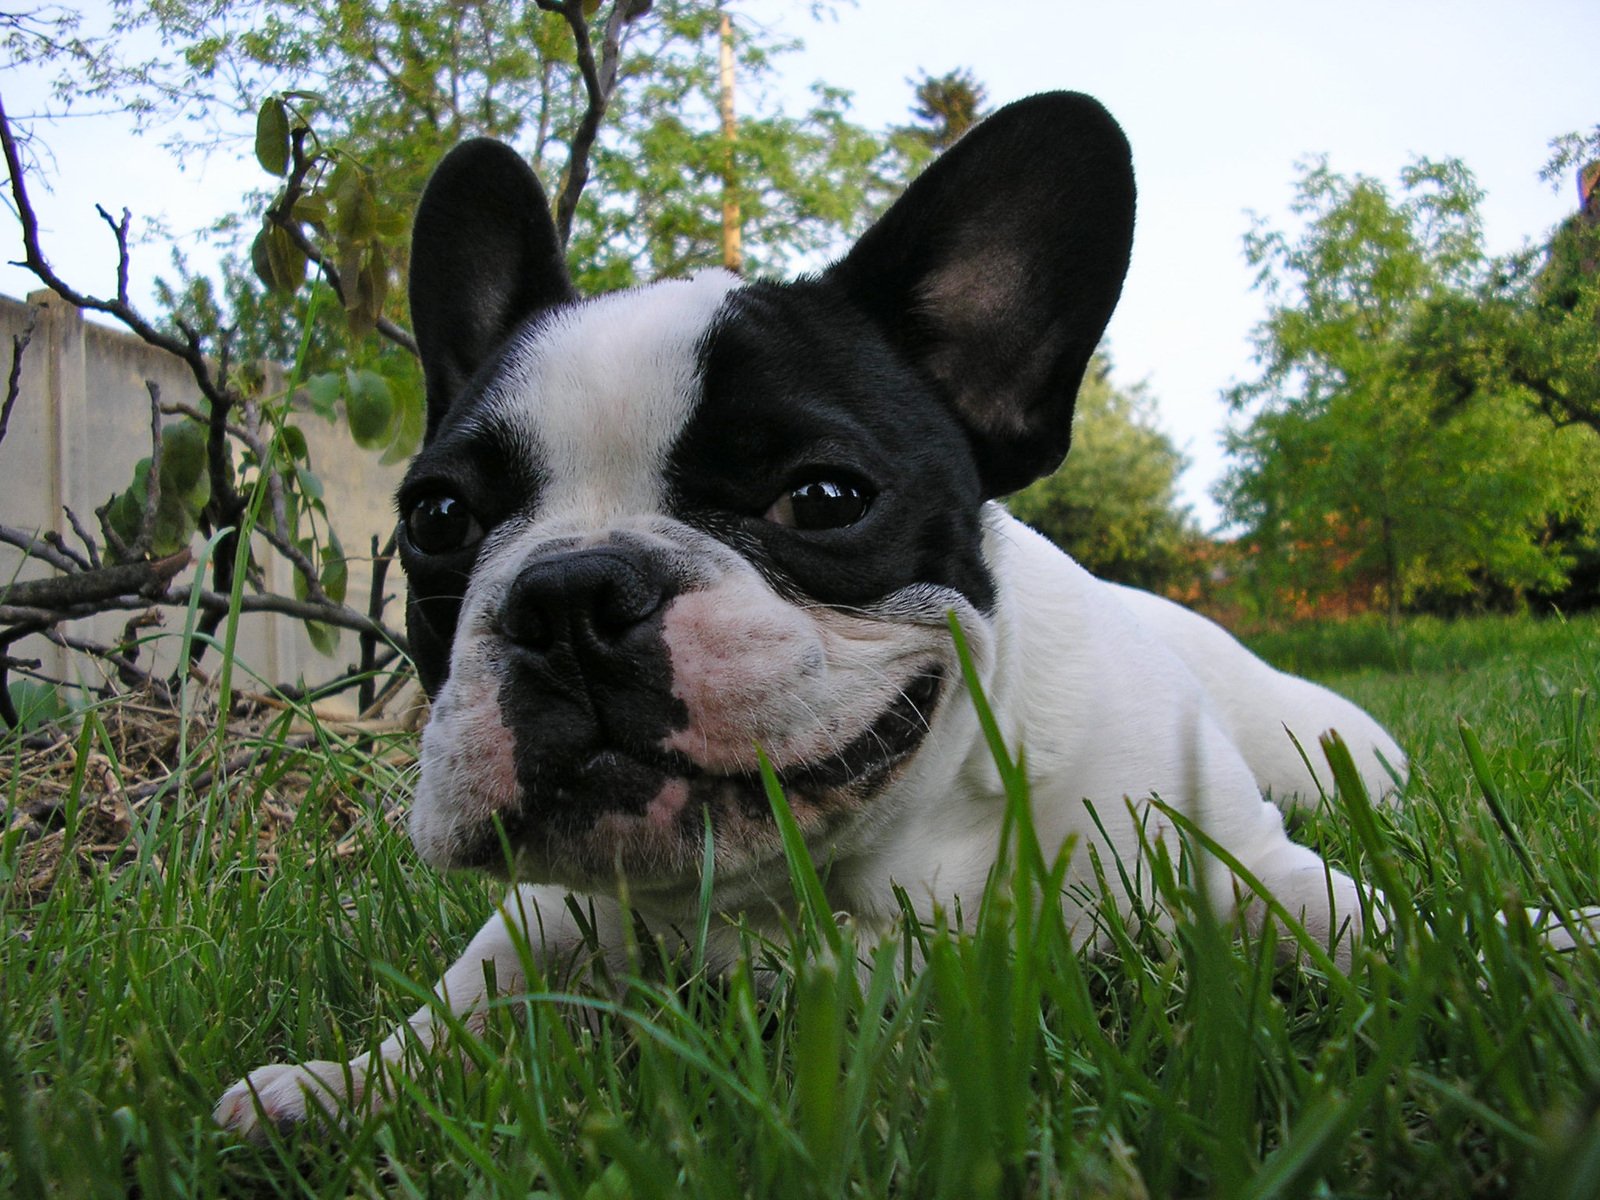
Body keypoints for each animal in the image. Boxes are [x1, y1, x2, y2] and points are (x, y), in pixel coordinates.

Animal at [212, 94, 1401, 1139]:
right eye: (439, 518)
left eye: (824, 497)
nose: (570, 595)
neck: (846, 876)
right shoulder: (558, 908)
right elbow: (475, 982)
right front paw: (342, 1082)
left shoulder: (1235, 859)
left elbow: (1365, 929)